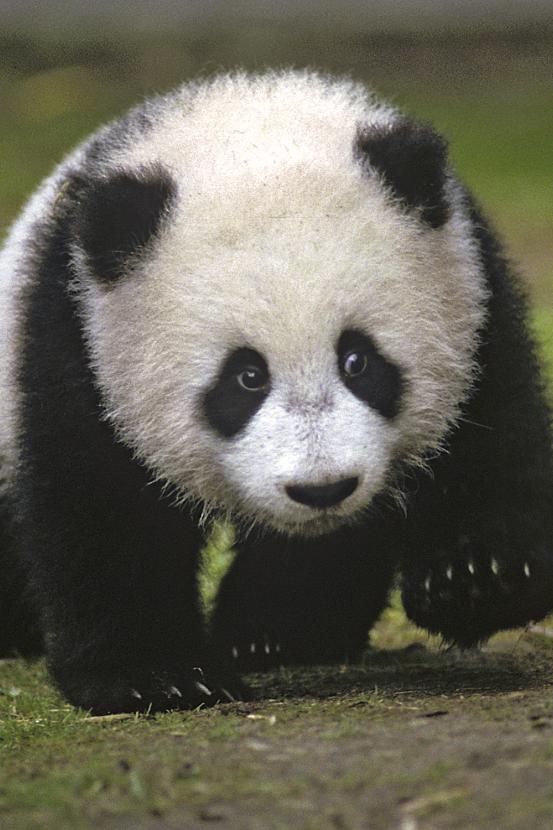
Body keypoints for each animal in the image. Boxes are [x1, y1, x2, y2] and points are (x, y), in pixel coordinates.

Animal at [0, 70, 552, 714]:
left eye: (358, 361)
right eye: (246, 377)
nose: (322, 488)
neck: (246, 123)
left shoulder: (470, 285)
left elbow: (490, 437)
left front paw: (473, 578)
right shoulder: (78, 332)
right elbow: (100, 502)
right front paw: (155, 676)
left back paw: (277, 632)